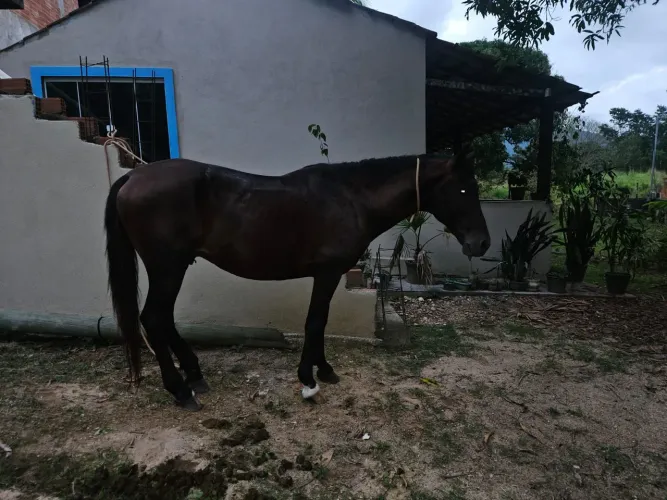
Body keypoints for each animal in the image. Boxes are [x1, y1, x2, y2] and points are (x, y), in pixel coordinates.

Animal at [103, 148, 491, 411]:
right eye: (462, 190)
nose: (482, 243)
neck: (352, 197)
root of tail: (133, 177)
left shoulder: (328, 274)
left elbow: (320, 321)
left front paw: (324, 370)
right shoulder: (328, 272)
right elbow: (315, 321)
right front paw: (309, 377)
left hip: (173, 267)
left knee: (164, 319)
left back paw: (195, 375)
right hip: (168, 267)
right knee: (154, 318)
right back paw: (181, 390)